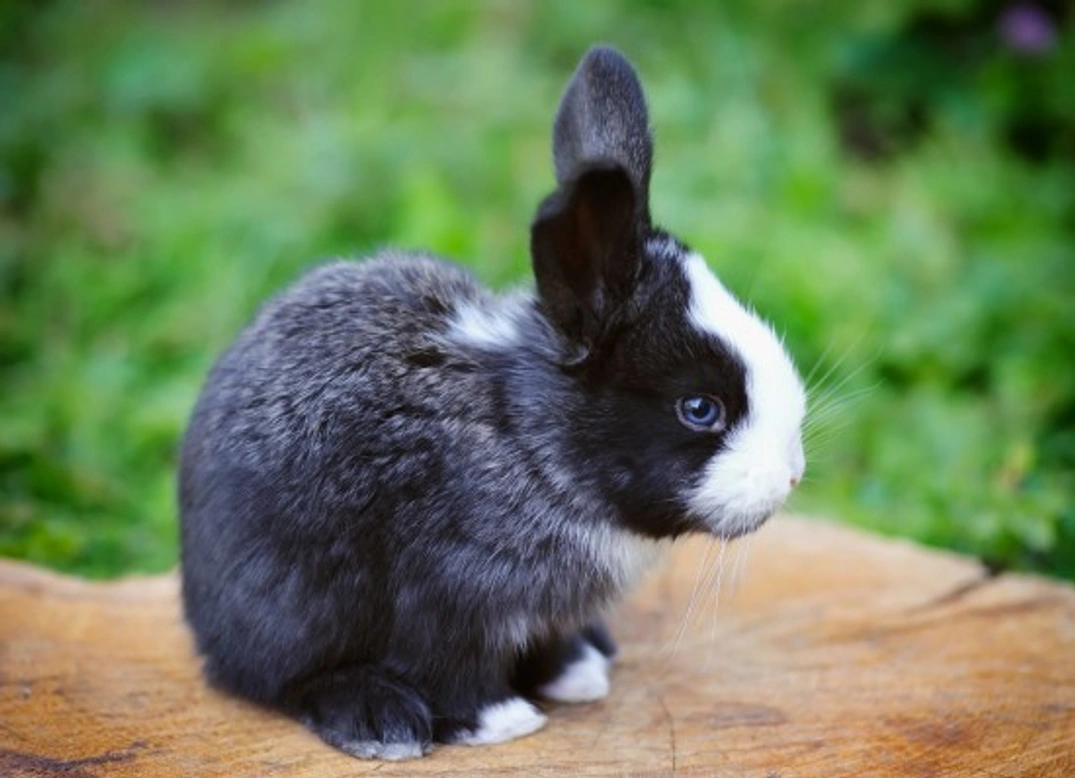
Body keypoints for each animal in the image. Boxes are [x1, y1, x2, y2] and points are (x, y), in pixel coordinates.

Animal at [178, 45, 806, 761]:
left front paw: (575, 675)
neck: (525, 442)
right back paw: (380, 720)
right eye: (700, 409)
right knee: (279, 679)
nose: (793, 475)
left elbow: (547, 641)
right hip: (290, 610)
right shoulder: (445, 595)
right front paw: (502, 721)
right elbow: (451, 670)